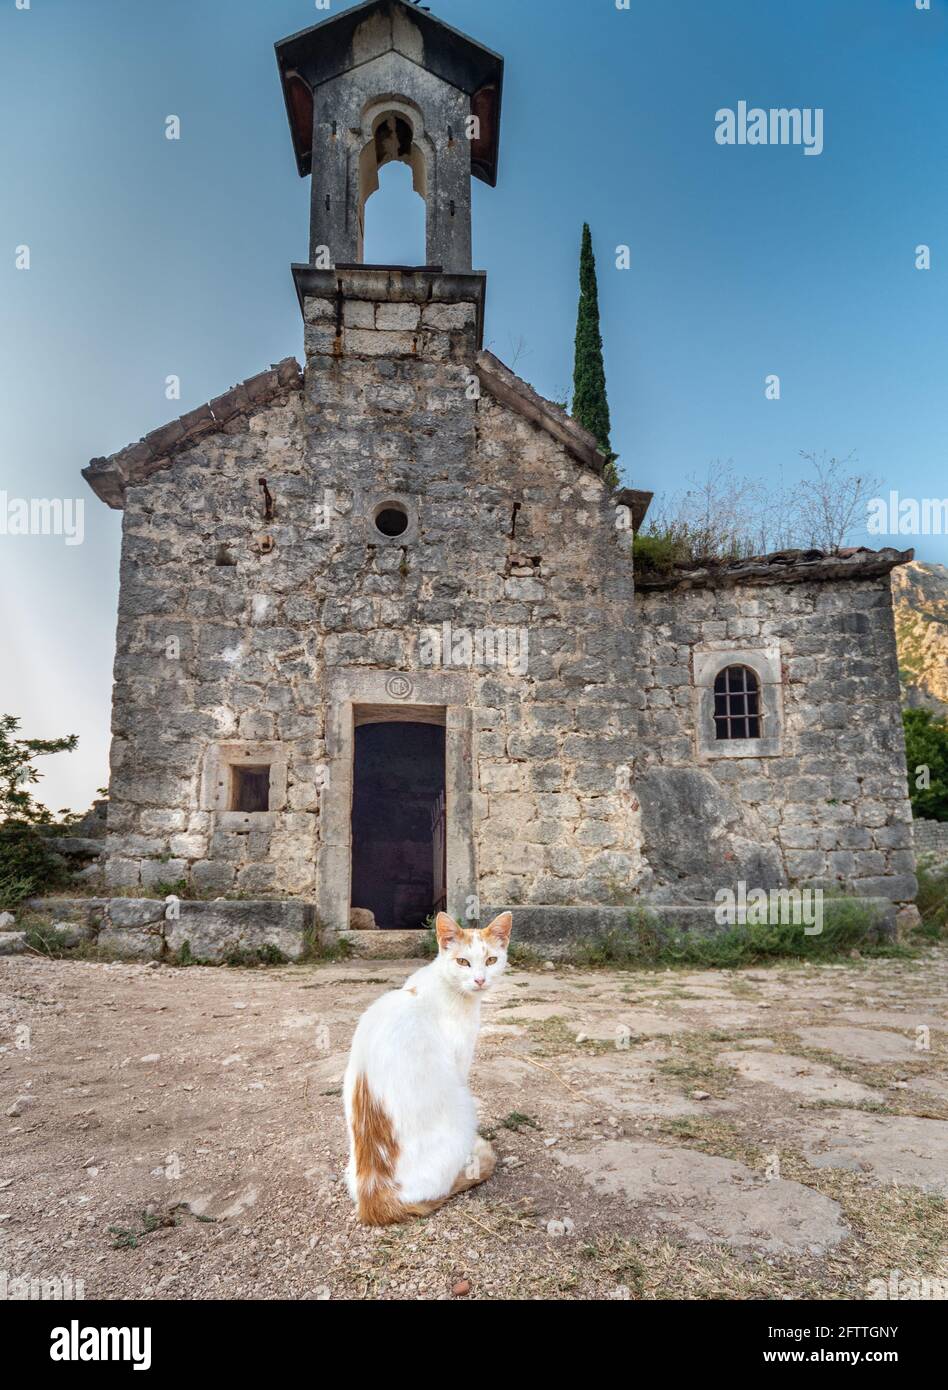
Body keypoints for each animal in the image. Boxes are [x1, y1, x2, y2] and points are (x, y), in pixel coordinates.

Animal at [341, 911, 508, 1228]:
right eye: (463, 962)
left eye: (491, 960)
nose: (480, 979)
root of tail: (373, 1199)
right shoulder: (459, 1062)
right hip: (463, 1108)